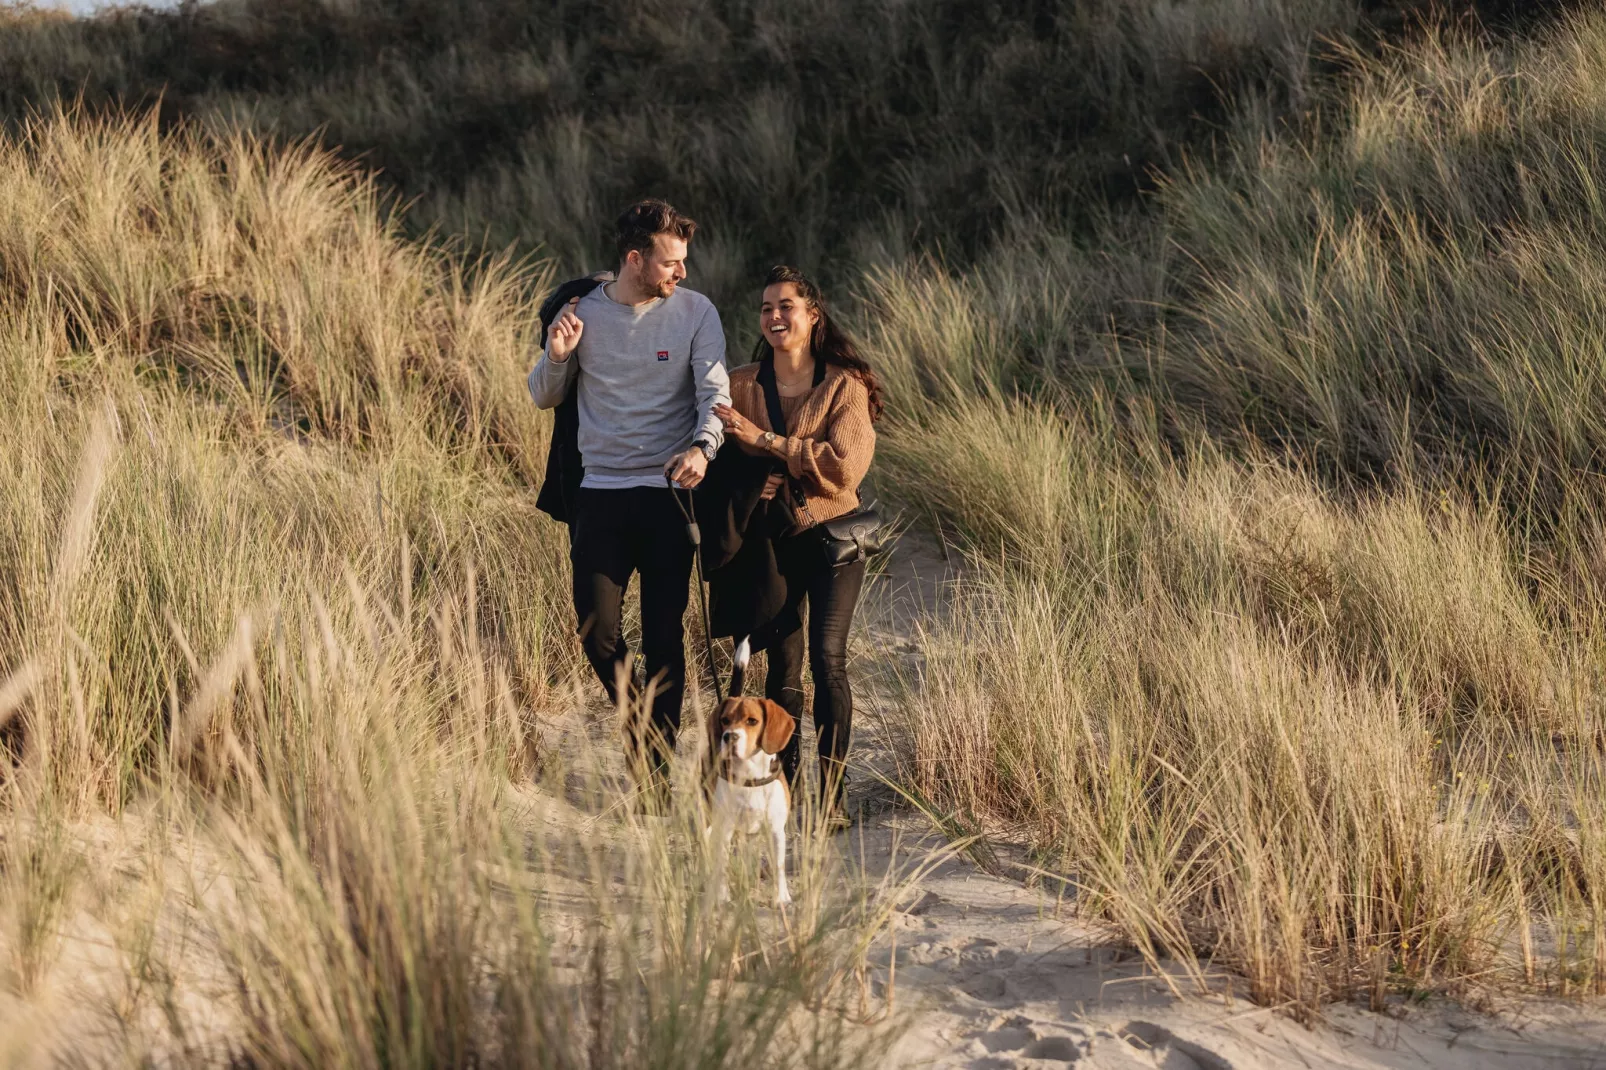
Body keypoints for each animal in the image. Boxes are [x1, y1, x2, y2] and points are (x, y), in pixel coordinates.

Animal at [709, 636, 796, 906]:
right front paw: (722, 896)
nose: (729, 737)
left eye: (752, 721)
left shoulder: (776, 831)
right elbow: (722, 865)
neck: (749, 776)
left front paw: (781, 898)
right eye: (725, 720)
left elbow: (779, 867)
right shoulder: (725, 828)